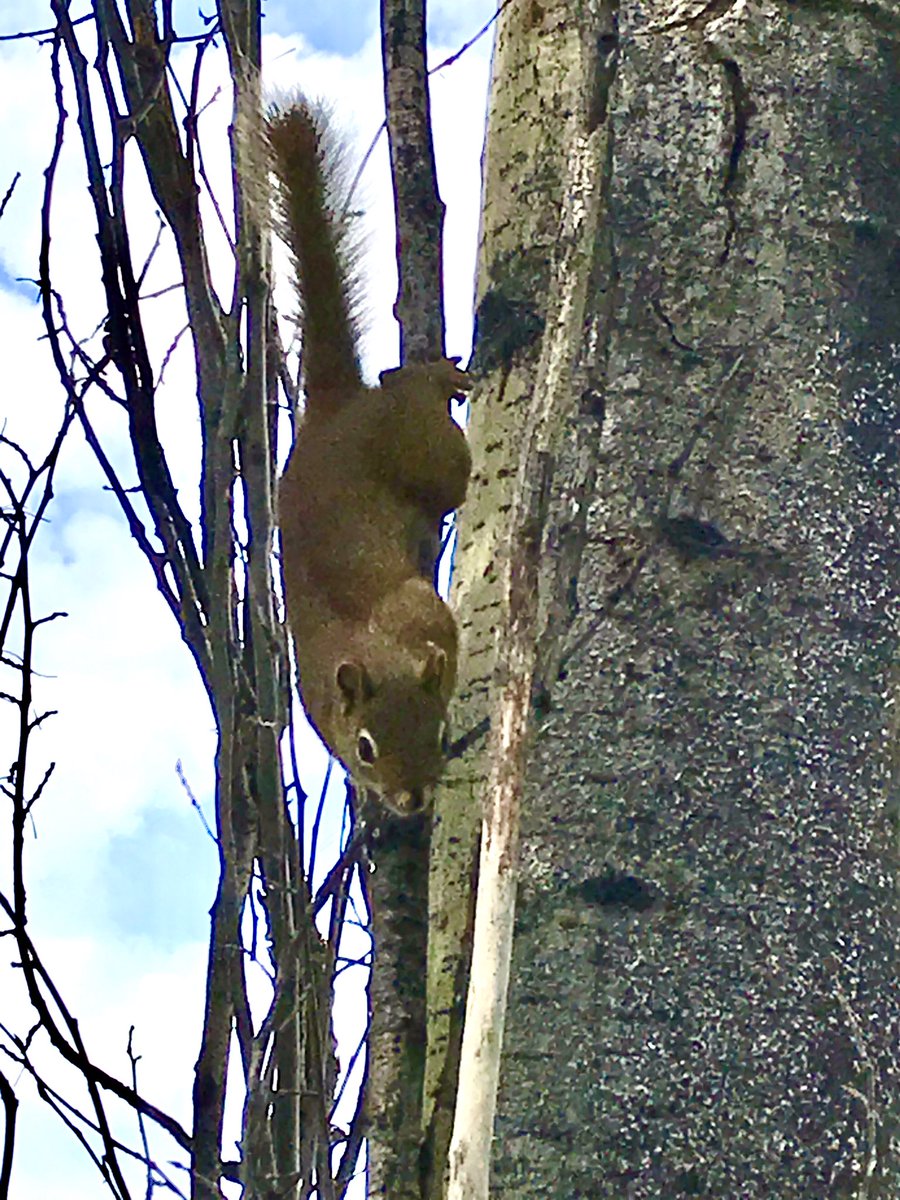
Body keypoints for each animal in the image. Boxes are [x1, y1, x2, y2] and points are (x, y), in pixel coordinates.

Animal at [269, 99, 471, 817]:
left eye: (438, 731)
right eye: (363, 748)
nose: (409, 800)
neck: (378, 644)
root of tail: (331, 413)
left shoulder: (427, 612)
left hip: (425, 453)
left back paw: (428, 378)